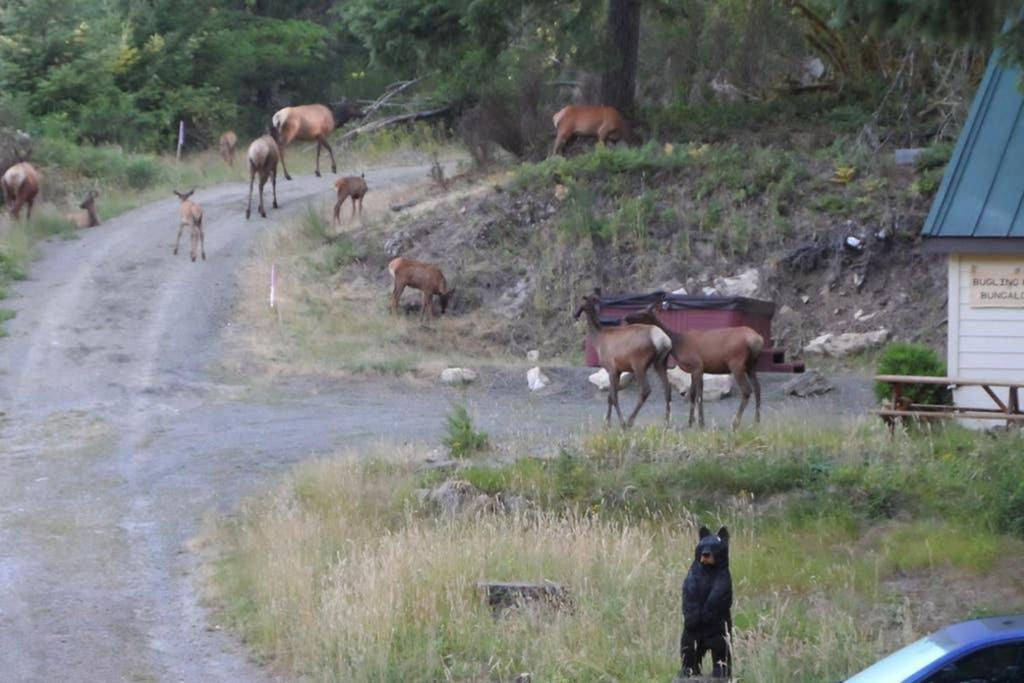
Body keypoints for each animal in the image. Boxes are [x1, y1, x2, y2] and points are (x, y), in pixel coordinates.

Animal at [573, 292, 675, 430]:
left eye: (581, 301)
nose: (575, 314)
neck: (598, 340)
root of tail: (664, 340)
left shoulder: (611, 369)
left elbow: (614, 397)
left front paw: (619, 422)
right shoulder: (619, 370)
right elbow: (610, 397)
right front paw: (607, 422)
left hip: (639, 365)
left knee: (646, 390)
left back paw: (630, 421)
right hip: (660, 362)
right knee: (667, 388)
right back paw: (667, 422)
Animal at [618, 305, 765, 428]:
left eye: (643, 313)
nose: (625, 317)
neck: (678, 344)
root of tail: (757, 340)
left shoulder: (698, 366)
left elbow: (699, 394)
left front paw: (700, 422)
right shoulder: (693, 370)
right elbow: (693, 394)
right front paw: (691, 422)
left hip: (736, 363)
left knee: (747, 390)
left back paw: (735, 422)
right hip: (752, 365)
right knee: (758, 389)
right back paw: (757, 421)